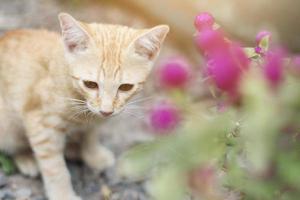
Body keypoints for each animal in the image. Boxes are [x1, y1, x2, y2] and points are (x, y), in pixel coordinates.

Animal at [0, 12, 169, 200]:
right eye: (90, 84)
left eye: (125, 87)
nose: (107, 110)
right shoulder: (41, 124)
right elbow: (54, 167)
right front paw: (62, 194)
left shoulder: (94, 120)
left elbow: (91, 134)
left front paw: (93, 154)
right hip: (7, 125)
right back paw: (28, 159)